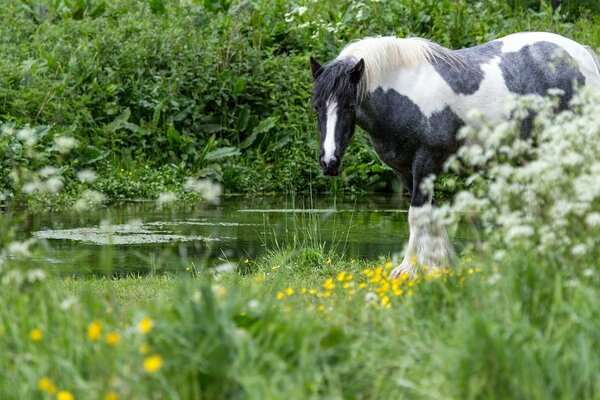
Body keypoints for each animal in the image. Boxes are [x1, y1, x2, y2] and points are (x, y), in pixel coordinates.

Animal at [310, 31, 600, 276]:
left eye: (349, 106)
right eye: (317, 106)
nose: (329, 162)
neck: (405, 92)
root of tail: (583, 55)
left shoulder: (425, 164)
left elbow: (416, 215)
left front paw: (409, 269)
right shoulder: (405, 172)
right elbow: (430, 216)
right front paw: (440, 264)